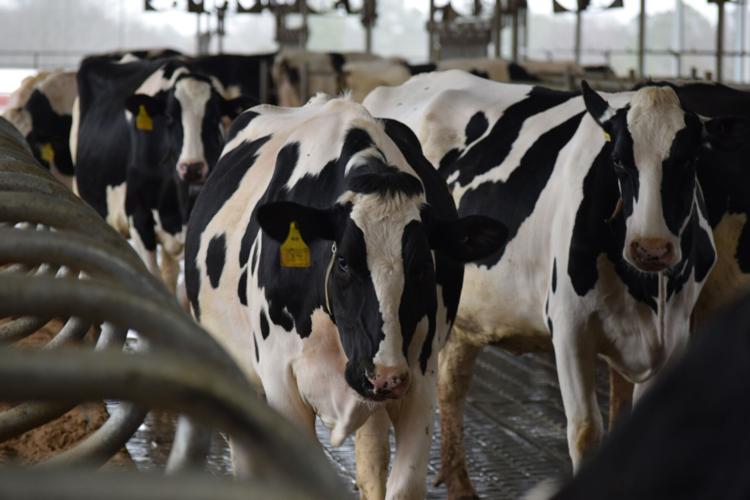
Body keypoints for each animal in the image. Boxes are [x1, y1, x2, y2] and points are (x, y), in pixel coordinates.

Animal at [184, 94, 507, 499]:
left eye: (423, 267)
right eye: (343, 263)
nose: (384, 375)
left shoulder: (419, 379)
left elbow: (402, 486)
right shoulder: (280, 384)